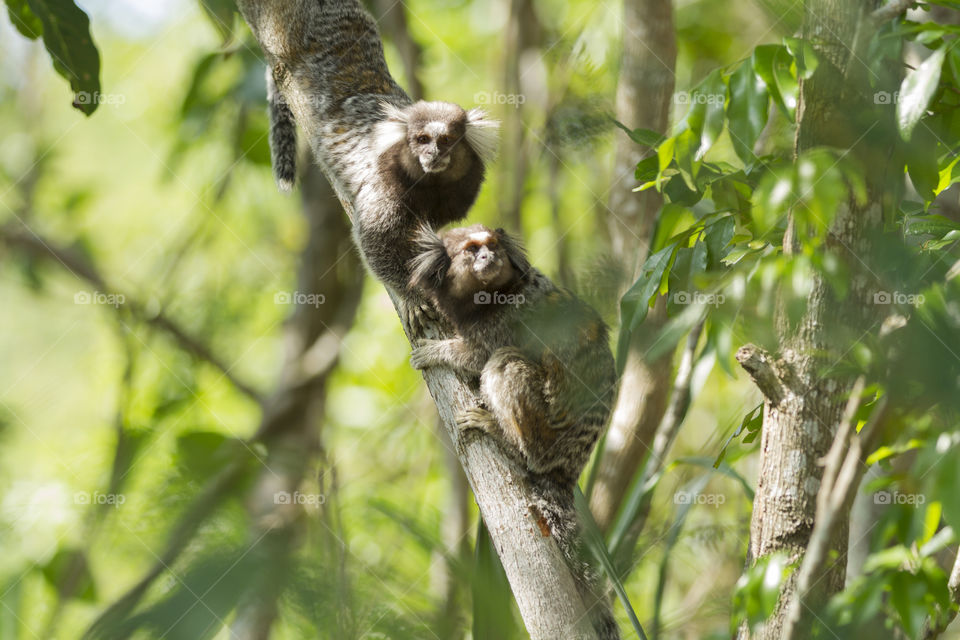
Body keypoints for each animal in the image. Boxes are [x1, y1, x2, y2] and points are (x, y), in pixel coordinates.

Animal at [406, 225, 620, 640]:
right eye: (472, 250)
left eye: (492, 247)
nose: (488, 258)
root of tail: (569, 466)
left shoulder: (507, 320)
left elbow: (478, 355)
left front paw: (440, 351)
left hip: (550, 431)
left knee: (504, 362)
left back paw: (505, 435)